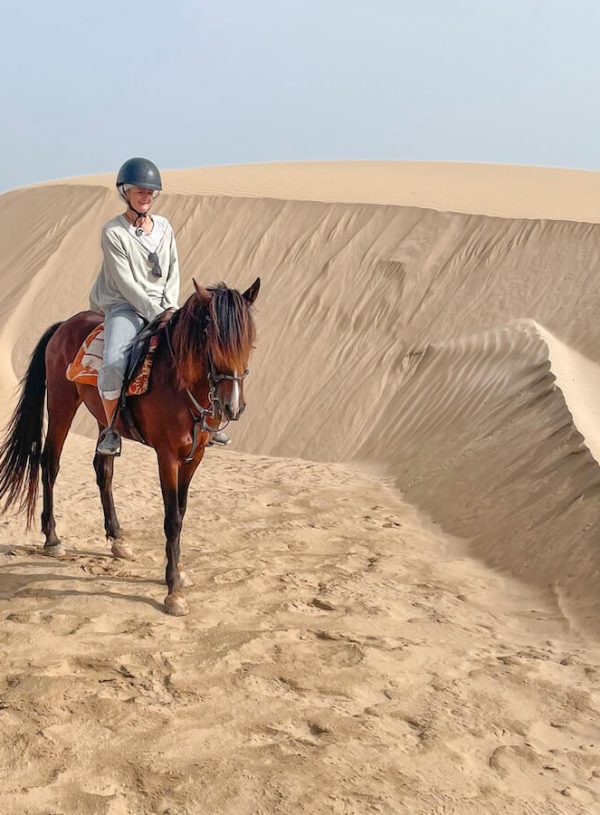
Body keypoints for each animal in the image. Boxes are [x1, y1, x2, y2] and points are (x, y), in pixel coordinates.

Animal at [0, 278, 260, 616]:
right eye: (213, 340)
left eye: (249, 341)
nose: (232, 406)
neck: (178, 381)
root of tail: (64, 325)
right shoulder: (167, 455)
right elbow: (172, 518)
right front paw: (173, 590)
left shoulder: (195, 456)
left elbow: (182, 511)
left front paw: (178, 573)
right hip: (61, 405)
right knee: (50, 463)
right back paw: (52, 539)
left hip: (102, 418)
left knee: (103, 469)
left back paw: (117, 538)